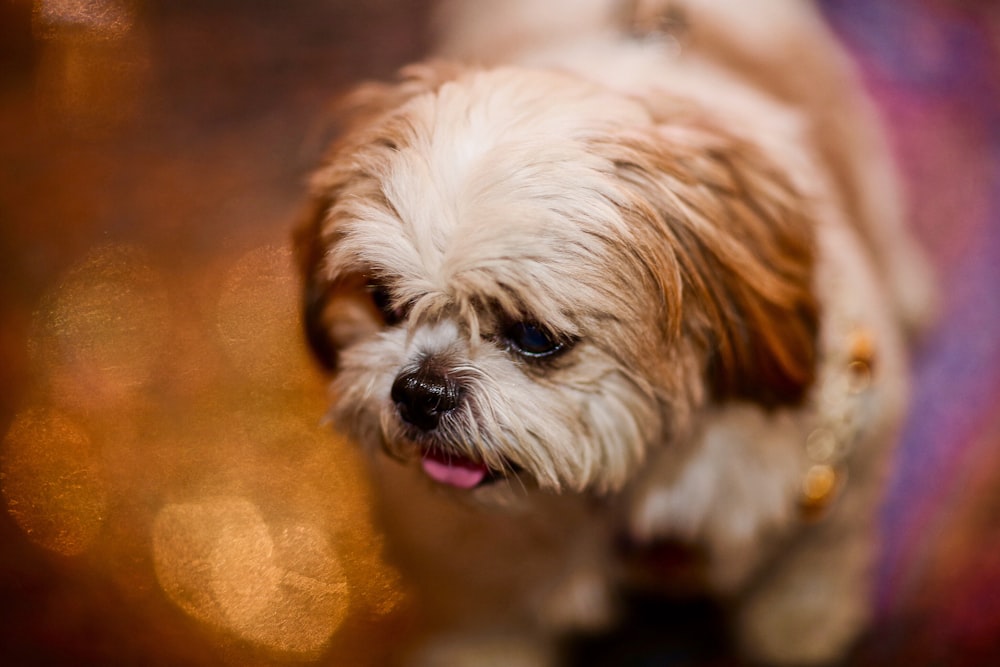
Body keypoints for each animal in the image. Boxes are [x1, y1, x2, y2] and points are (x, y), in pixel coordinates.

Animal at [292, 1, 932, 664]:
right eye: (382, 301)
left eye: (533, 336)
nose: (421, 390)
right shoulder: (476, 569)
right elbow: (486, 620)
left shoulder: (837, 465)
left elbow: (810, 569)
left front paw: (800, 628)